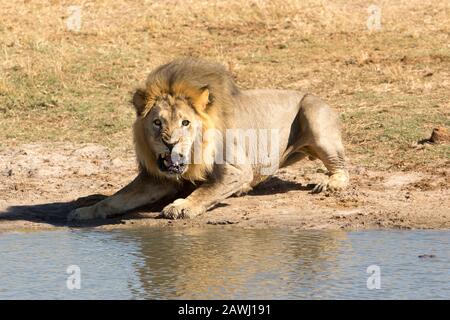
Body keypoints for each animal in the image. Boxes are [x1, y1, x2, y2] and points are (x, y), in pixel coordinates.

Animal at [67, 57, 348, 221]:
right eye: (158, 123)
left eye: (185, 123)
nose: (170, 144)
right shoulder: (156, 178)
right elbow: (116, 199)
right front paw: (85, 211)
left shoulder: (237, 170)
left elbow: (205, 191)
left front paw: (180, 206)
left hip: (313, 111)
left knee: (342, 167)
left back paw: (329, 183)